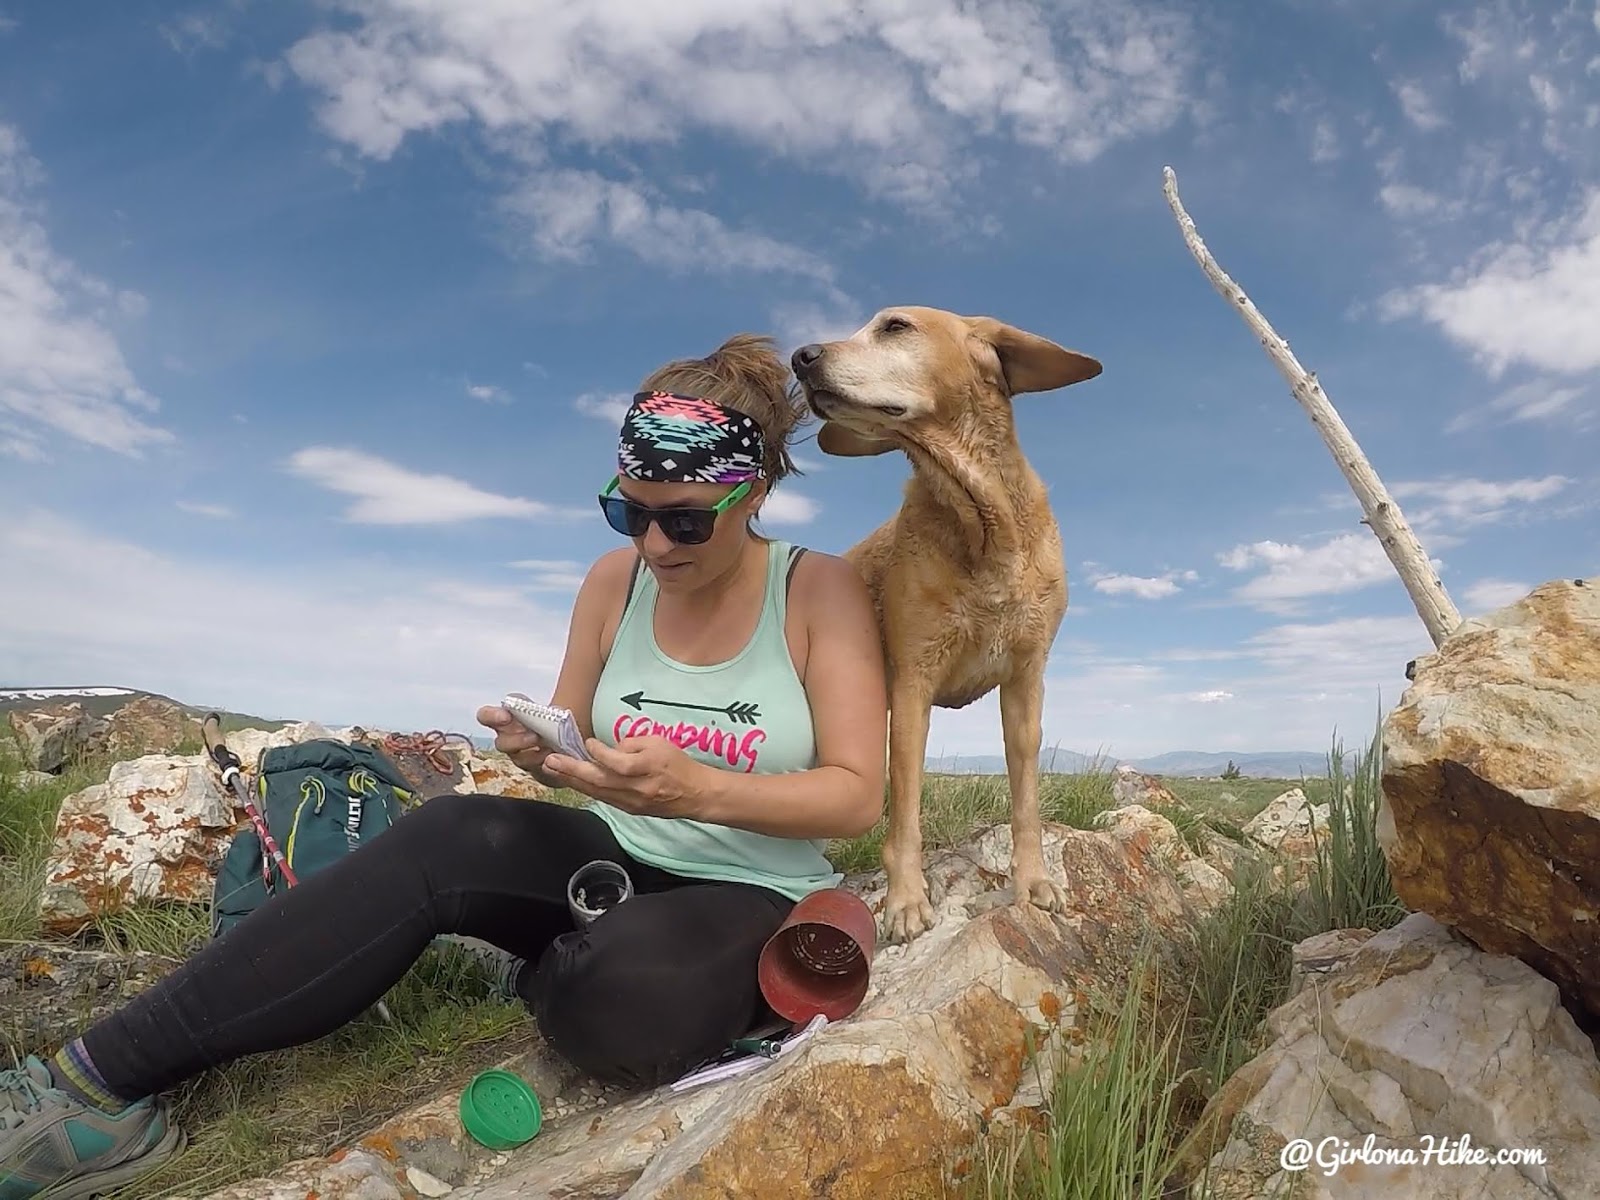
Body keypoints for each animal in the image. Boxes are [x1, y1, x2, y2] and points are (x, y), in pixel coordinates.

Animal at [787, 305, 1100, 947]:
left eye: (895, 326)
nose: (800, 357)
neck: (982, 522)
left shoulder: (1026, 681)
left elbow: (1026, 799)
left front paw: (1033, 881)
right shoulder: (912, 685)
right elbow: (905, 810)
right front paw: (906, 901)